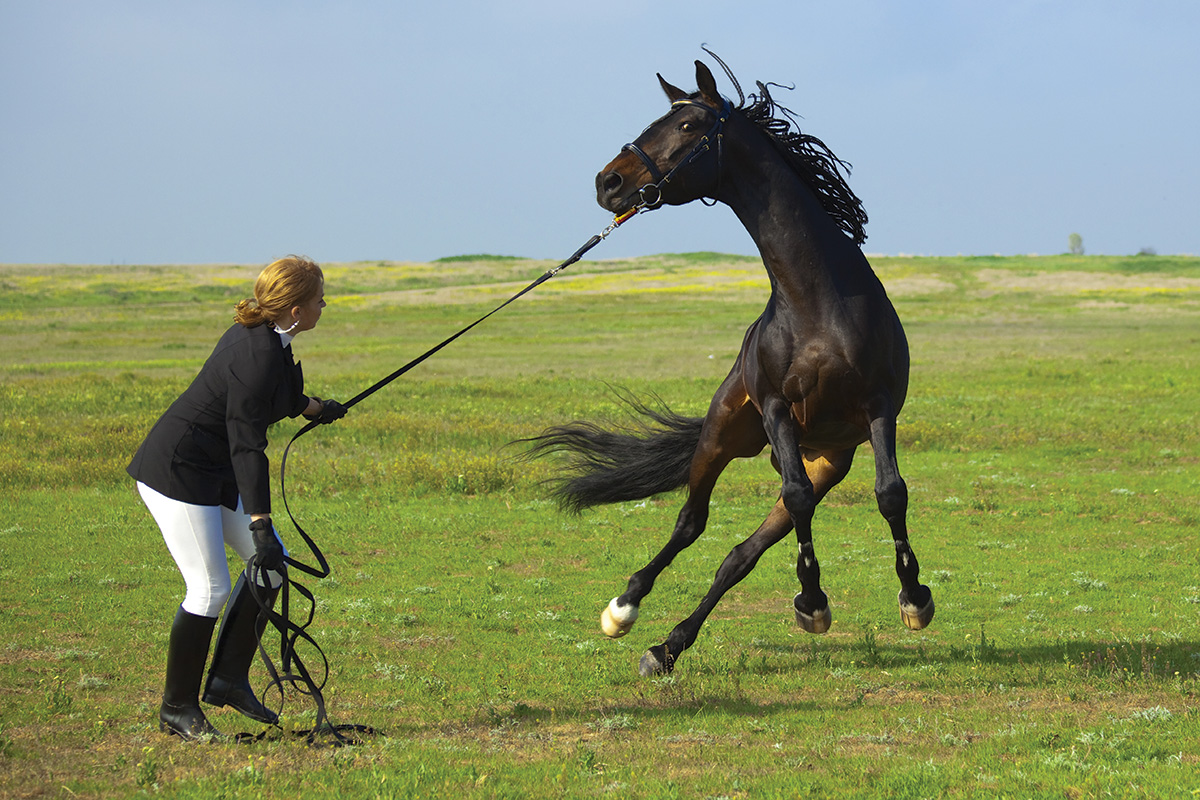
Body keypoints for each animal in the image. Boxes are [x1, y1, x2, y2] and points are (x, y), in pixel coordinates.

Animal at [530, 57, 931, 676]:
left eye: (688, 125)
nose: (608, 182)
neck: (816, 302)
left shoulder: (878, 405)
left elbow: (890, 493)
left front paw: (913, 599)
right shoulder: (776, 408)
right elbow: (792, 499)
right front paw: (813, 602)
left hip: (825, 460)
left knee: (741, 554)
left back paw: (667, 647)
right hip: (723, 434)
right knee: (690, 522)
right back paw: (625, 609)